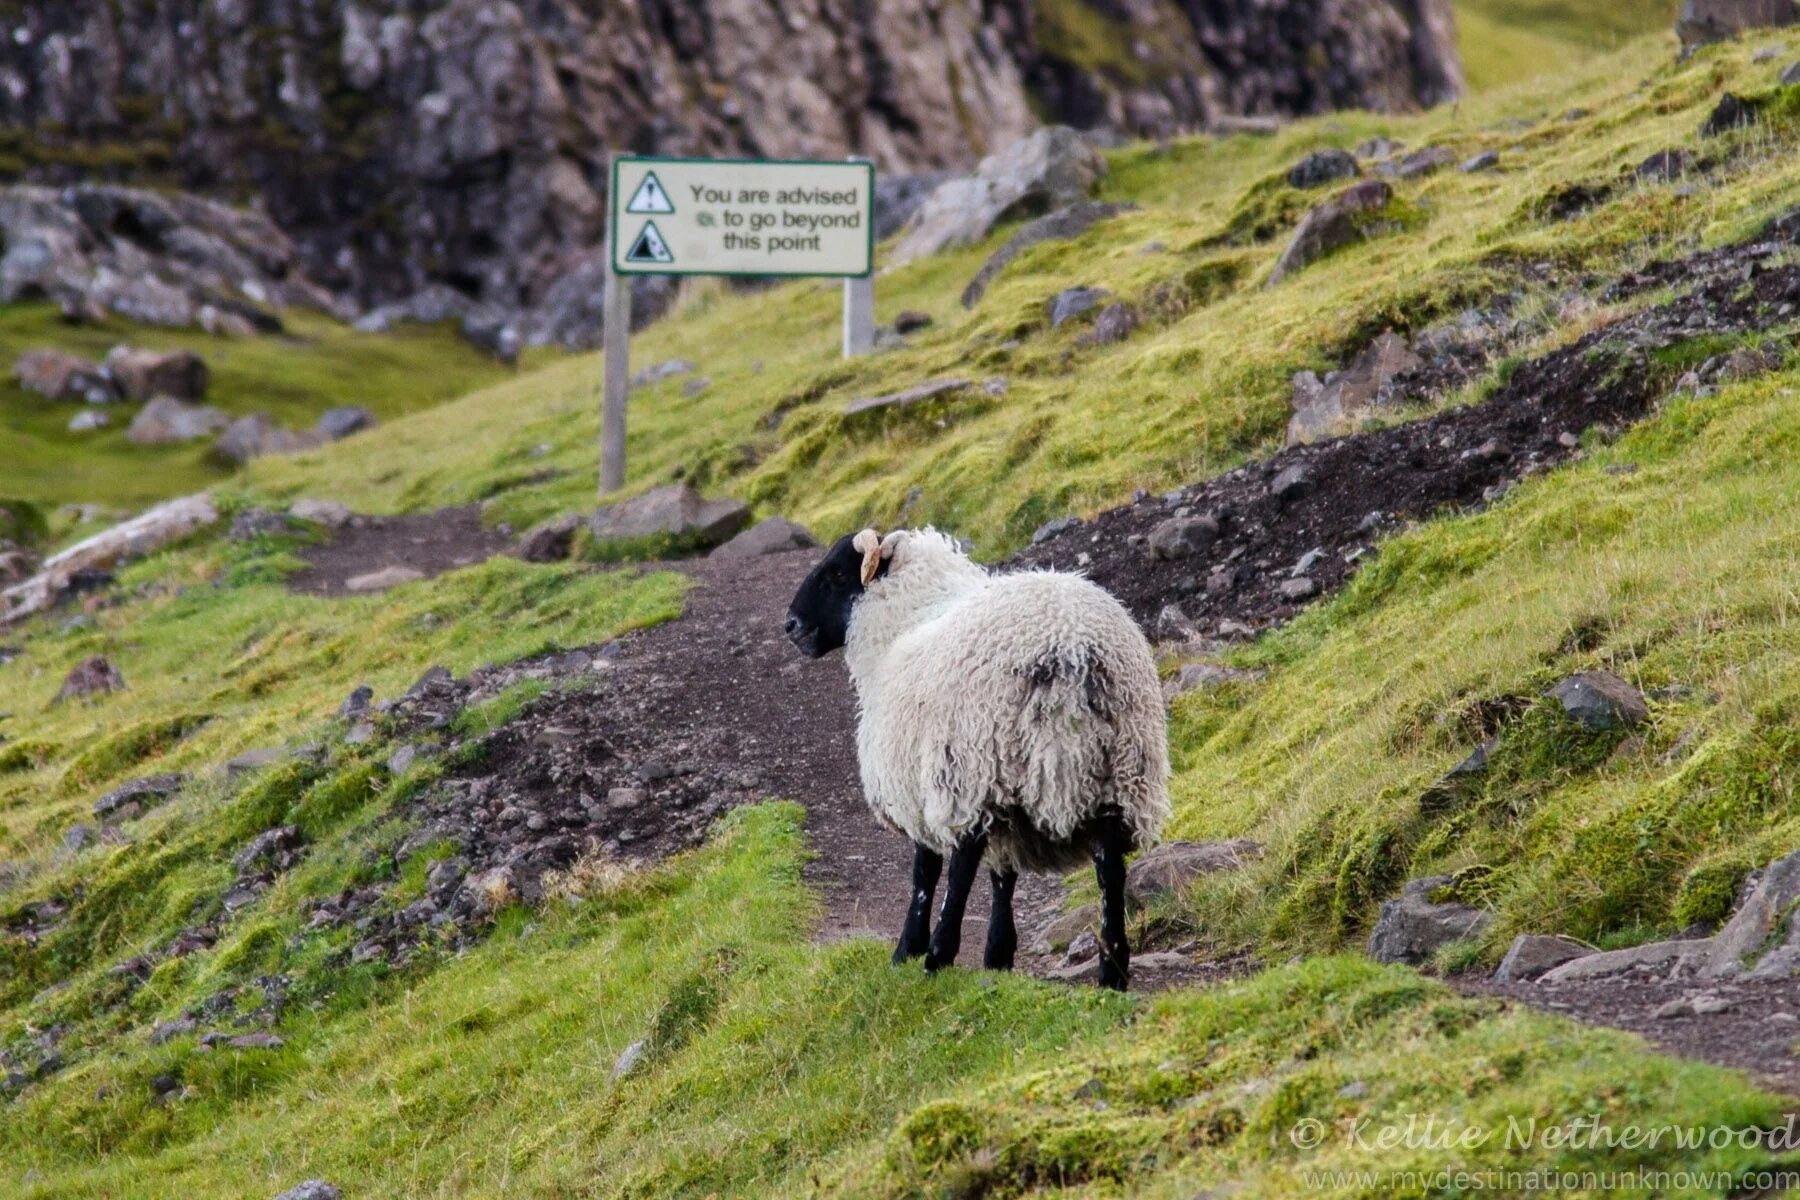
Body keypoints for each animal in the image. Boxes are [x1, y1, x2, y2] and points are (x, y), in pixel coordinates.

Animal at [784, 528, 1173, 993]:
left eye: (837, 575)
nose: (790, 625)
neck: (903, 617)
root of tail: (1070, 648)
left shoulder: (925, 781)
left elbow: (926, 871)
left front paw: (908, 949)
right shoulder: (1004, 789)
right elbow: (1003, 874)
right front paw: (998, 955)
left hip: (971, 761)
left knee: (963, 864)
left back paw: (938, 955)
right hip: (1118, 767)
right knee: (1109, 867)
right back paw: (1112, 970)